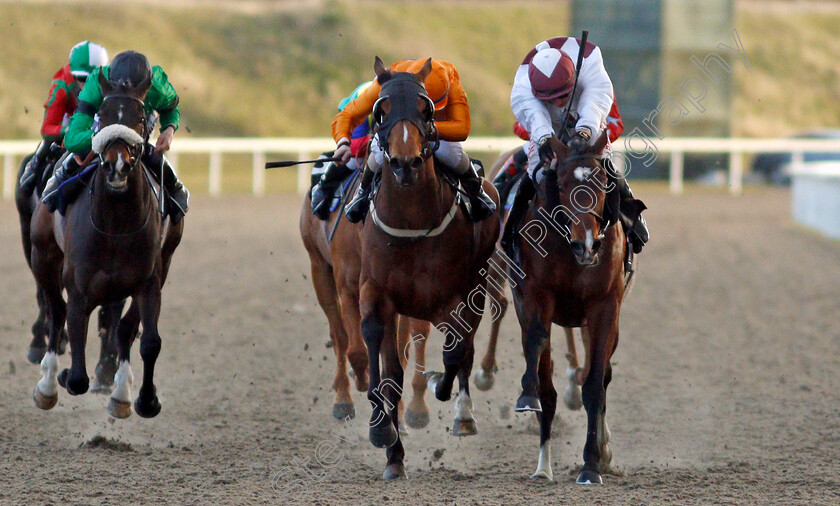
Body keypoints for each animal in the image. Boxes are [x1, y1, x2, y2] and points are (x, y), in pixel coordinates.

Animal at [29, 72, 184, 420]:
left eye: (140, 118)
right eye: (101, 115)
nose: (117, 166)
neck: (116, 225)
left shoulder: (149, 280)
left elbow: (148, 340)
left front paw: (142, 399)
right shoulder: (79, 287)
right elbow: (76, 373)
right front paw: (61, 376)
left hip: (163, 261)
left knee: (123, 328)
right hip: (43, 255)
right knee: (55, 312)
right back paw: (47, 384)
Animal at [300, 169, 434, 426]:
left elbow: (400, 350)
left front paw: (408, 411)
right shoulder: (348, 287)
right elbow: (355, 350)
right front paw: (360, 380)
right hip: (318, 268)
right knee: (339, 336)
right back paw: (343, 397)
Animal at [354, 58, 498, 478]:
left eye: (425, 108)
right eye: (381, 110)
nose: (405, 163)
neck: (410, 224)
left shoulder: (454, 297)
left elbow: (453, 355)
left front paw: (438, 387)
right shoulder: (376, 291)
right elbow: (384, 365)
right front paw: (384, 438)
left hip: (478, 284)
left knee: (464, 351)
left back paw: (462, 414)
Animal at [506, 132, 644, 484]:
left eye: (602, 182)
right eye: (563, 183)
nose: (587, 244)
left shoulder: (604, 307)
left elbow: (594, 385)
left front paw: (591, 464)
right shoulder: (535, 298)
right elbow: (539, 360)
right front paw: (528, 397)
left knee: (602, 375)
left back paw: (603, 451)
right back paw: (543, 466)